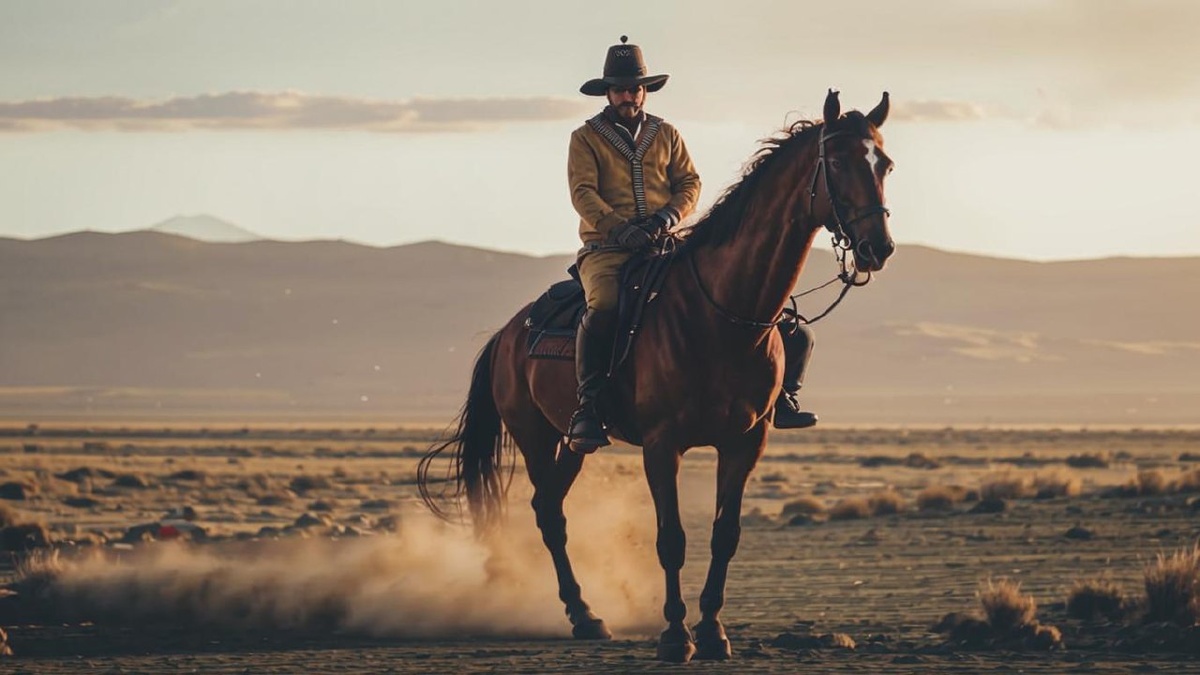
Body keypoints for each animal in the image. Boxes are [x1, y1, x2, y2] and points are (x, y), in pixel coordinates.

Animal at [417, 90, 897, 662]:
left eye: (885, 164)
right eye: (839, 162)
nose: (877, 247)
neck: (723, 314)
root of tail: (508, 333)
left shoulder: (745, 442)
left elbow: (725, 534)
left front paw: (712, 632)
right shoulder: (661, 444)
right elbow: (671, 539)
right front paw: (674, 635)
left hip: (573, 445)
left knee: (552, 504)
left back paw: (585, 613)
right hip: (537, 436)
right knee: (549, 516)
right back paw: (584, 615)